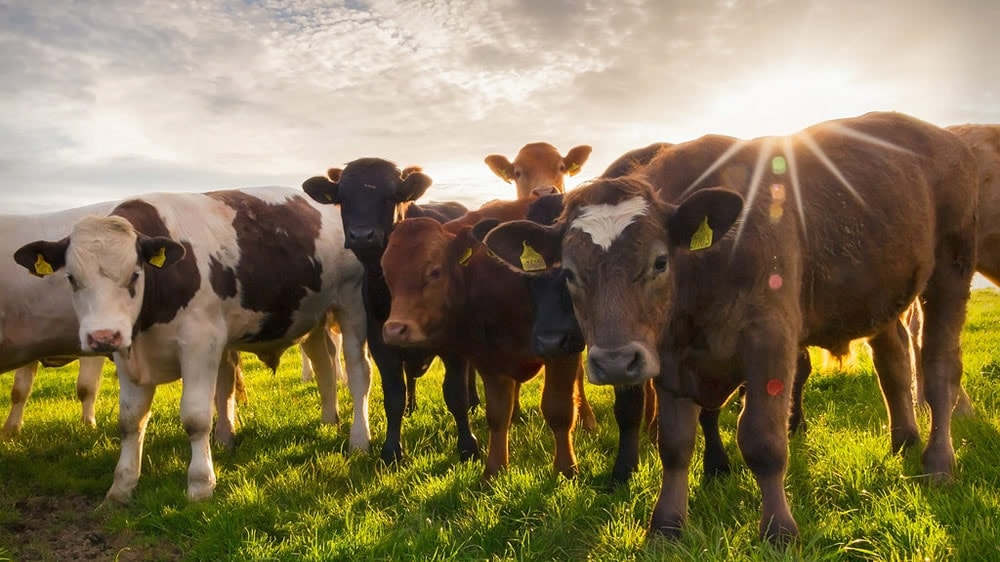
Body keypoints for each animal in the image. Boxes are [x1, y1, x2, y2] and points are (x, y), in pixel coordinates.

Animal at [12, 186, 372, 500]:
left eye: (134, 274)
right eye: (71, 278)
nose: (103, 336)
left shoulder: (201, 346)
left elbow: (196, 418)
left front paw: (201, 485)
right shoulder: (128, 356)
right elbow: (130, 421)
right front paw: (121, 488)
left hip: (353, 306)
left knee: (358, 373)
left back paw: (359, 439)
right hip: (312, 316)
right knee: (324, 363)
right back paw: (328, 421)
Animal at [300, 159, 480, 464]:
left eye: (389, 196)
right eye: (343, 198)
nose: (362, 235)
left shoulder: (454, 346)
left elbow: (456, 395)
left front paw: (468, 447)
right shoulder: (381, 340)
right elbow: (393, 396)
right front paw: (391, 450)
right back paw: (412, 406)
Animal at [380, 196, 584, 476]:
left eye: (435, 272)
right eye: (387, 274)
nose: (394, 329)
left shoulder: (563, 350)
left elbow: (558, 409)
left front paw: (566, 468)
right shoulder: (489, 358)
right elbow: (497, 415)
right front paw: (494, 470)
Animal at [484, 110, 976, 544]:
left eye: (660, 261)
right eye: (568, 272)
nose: (616, 363)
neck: (704, 274)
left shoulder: (770, 343)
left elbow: (762, 440)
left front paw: (779, 530)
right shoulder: (670, 359)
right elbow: (674, 443)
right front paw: (666, 526)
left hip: (950, 274)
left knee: (939, 371)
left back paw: (938, 462)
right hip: (882, 298)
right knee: (893, 361)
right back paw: (903, 440)